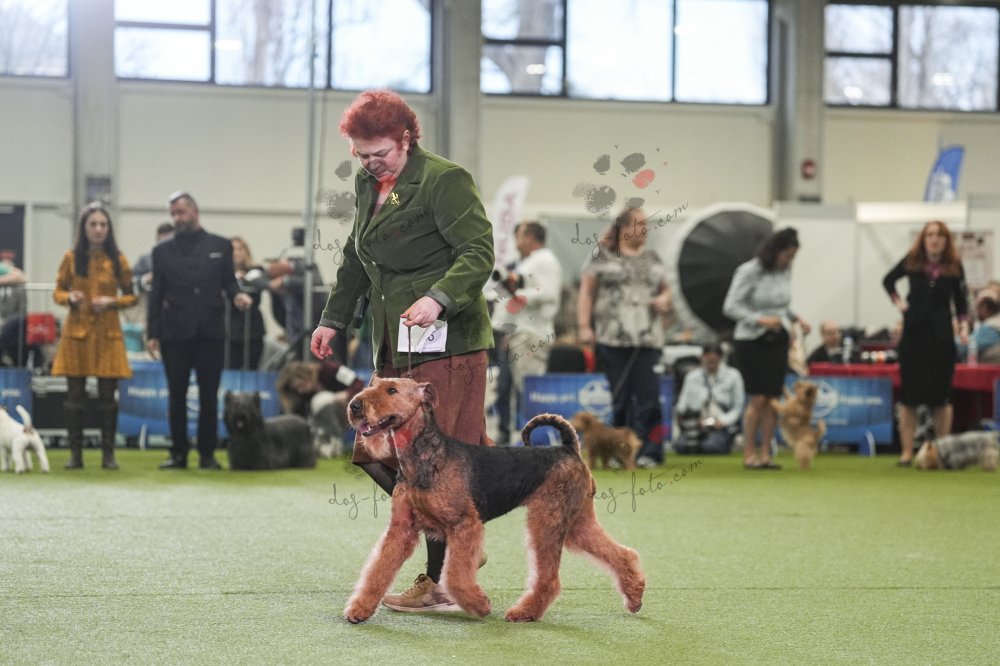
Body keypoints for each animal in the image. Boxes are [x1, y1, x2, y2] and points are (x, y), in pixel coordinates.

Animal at [343, 377, 645, 624]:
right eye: (374, 384)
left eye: (391, 390)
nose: (355, 406)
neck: (425, 455)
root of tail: (569, 448)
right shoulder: (401, 529)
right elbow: (377, 570)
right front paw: (358, 610)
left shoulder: (465, 524)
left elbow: (456, 577)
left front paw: (479, 605)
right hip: (576, 522)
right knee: (621, 553)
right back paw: (635, 596)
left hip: (546, 521)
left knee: (549, 578)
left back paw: (524, 612)